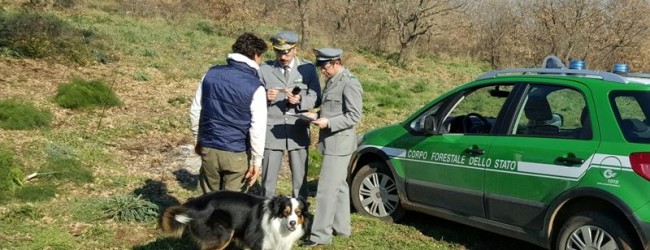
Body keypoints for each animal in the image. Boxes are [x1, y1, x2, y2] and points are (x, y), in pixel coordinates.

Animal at [158, 190, 308, 249]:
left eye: (298, 213)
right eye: (285, 212)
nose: (293, 223)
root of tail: (192, 205)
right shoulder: (258, 242)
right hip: (224, 234)